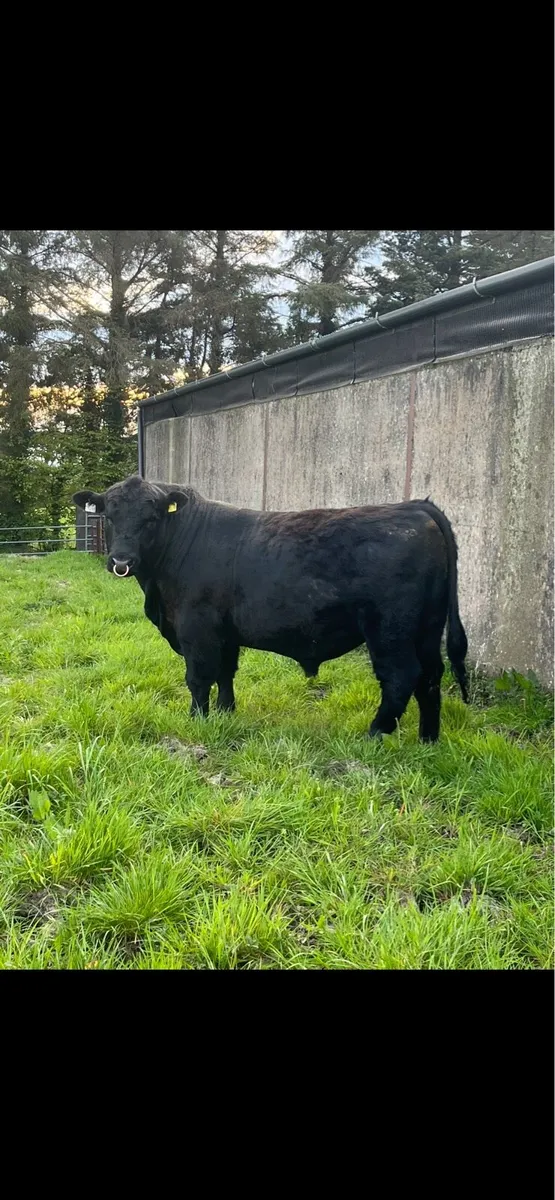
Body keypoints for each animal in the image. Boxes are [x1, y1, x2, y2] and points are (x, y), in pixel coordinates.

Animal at [73, 475, 469, 742]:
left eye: (151, 518)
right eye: (109, 515)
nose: (121, 561)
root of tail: (415, 506)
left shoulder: (196, 629)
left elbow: (199, 678)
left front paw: (197, 720)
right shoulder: (225, 633)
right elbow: (226, 673)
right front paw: (226, 713)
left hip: (389, 630)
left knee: (401, 677)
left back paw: (373, 735)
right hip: (427, 628)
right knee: (431, 676)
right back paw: (428, 738)